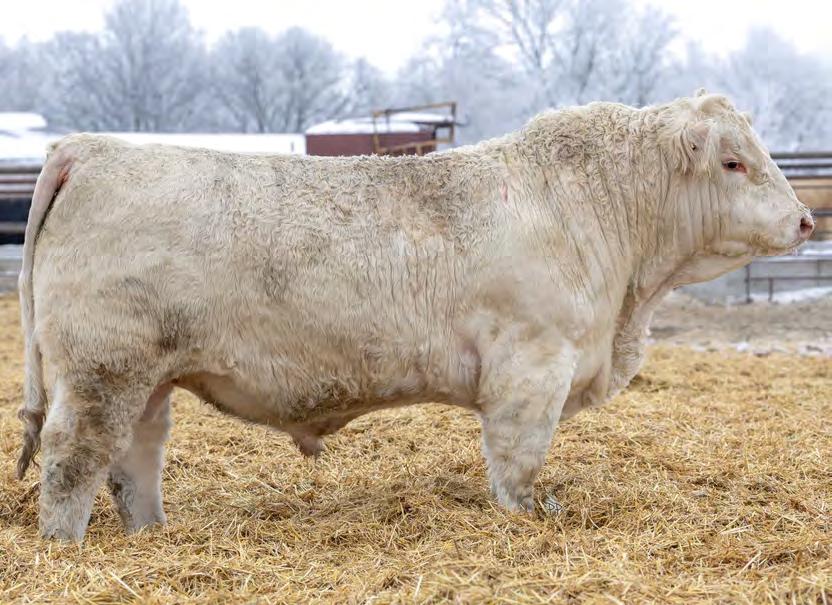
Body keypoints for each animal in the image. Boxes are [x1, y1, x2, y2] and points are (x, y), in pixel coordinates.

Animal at [15, 90, 813, 541]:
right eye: (735, 163)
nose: (806, 218)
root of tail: (87, 149)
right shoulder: (532, 363)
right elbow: (517, 461)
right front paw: (529, 520)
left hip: (147, 374)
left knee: (134, 459)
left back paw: (150, 535)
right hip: (103, 366)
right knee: (74, 455)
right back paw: (66, 547)